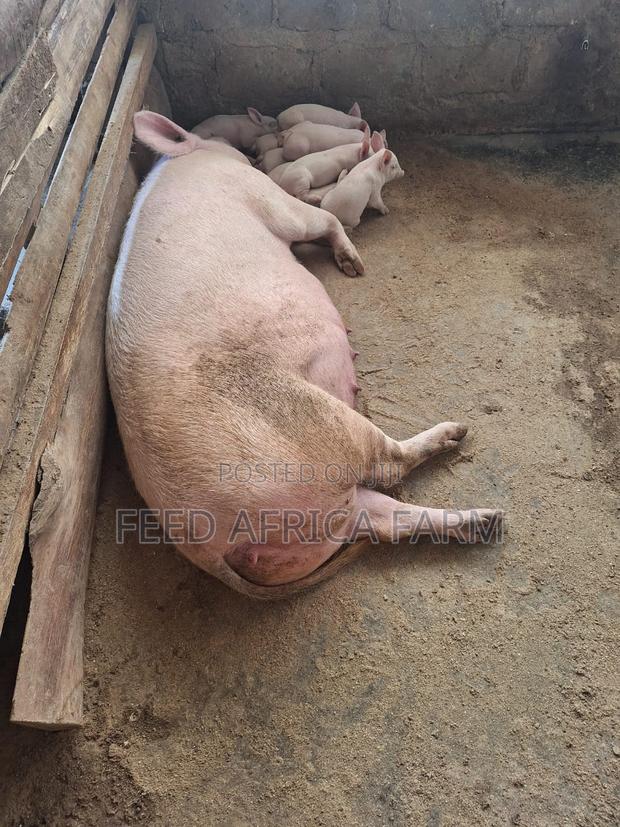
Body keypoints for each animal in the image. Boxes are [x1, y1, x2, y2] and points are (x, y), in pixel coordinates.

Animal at [106, 111, 502, 599]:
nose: (255, 146)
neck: (195, 157)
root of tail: (211, 544)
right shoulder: (268, 198)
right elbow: (323, 219)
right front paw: (355, 267)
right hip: (320, 428)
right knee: (389, 465)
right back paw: (458, 433)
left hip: (327, 515)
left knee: (388, 520)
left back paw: (490, 519)